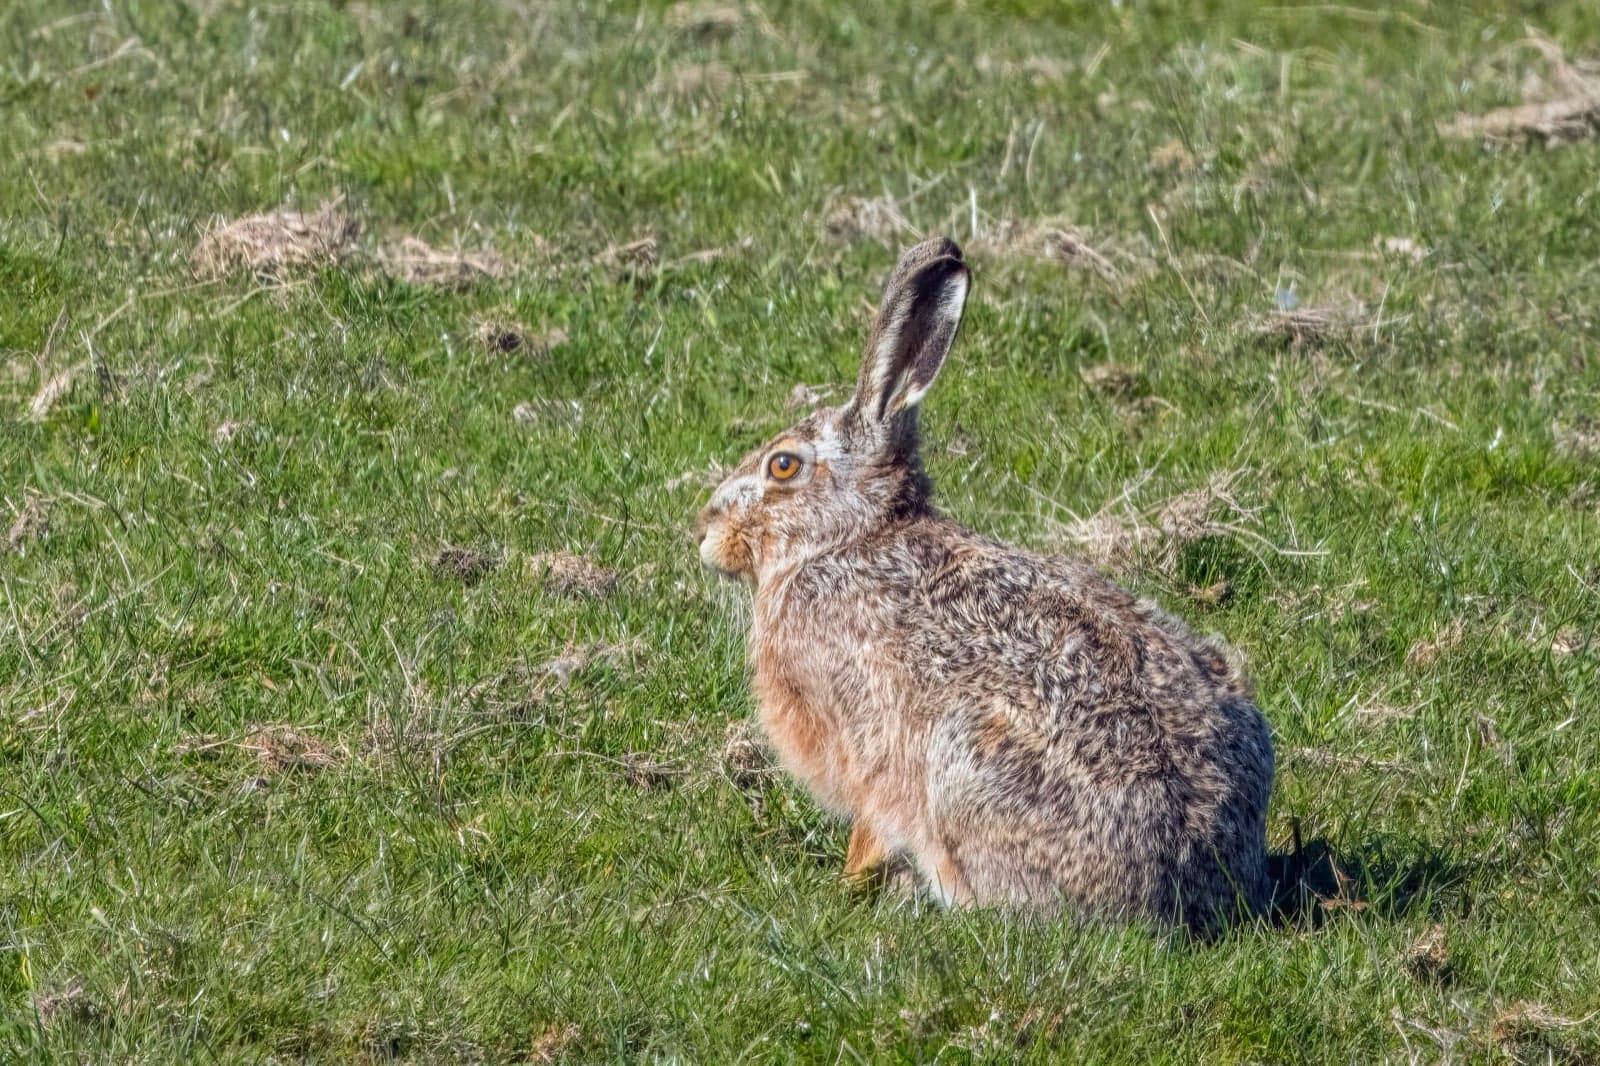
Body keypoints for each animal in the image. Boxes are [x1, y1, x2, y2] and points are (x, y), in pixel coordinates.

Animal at [695, 236, 1273, 933]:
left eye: (783, 466)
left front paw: (848, 881)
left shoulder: (859, 731)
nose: (704, 530)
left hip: (964, 763)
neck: (848, 537)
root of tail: (1195, 879)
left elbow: (870, 815)